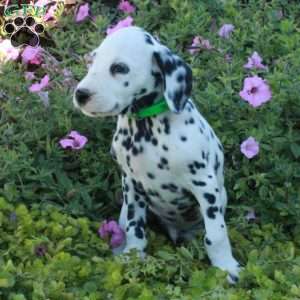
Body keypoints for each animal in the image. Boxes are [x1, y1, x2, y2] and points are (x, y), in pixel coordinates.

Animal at [74, 26, 240, 284]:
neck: (146, 129)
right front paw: (132, 257)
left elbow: (216, 235)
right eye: (92, 62)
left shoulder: (206, 187)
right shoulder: (132, 186)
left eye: (119, 68)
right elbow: (134, 228)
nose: (81, 94)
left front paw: (226, 267)